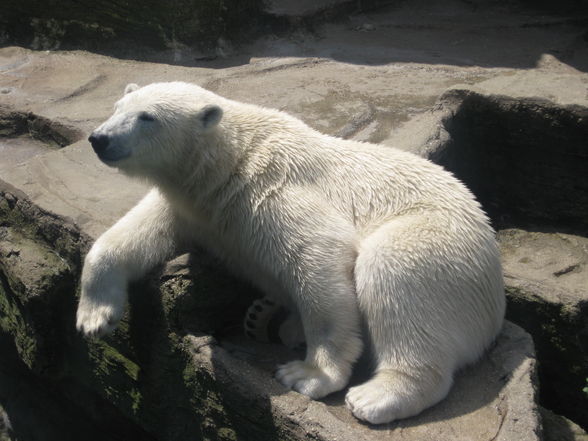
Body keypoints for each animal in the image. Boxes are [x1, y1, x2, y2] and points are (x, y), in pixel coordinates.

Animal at [76, 81, 504, 422]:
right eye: (117, 107)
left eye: (147, 117)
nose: (100, 138)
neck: (232, 161)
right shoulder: (195, 206)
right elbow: (138, 230)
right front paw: (94, 318)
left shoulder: (275, 189)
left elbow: (321, 255)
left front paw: (309, 375)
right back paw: (276, 320)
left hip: (437, 243)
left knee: (395, 276)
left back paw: (376, 395)